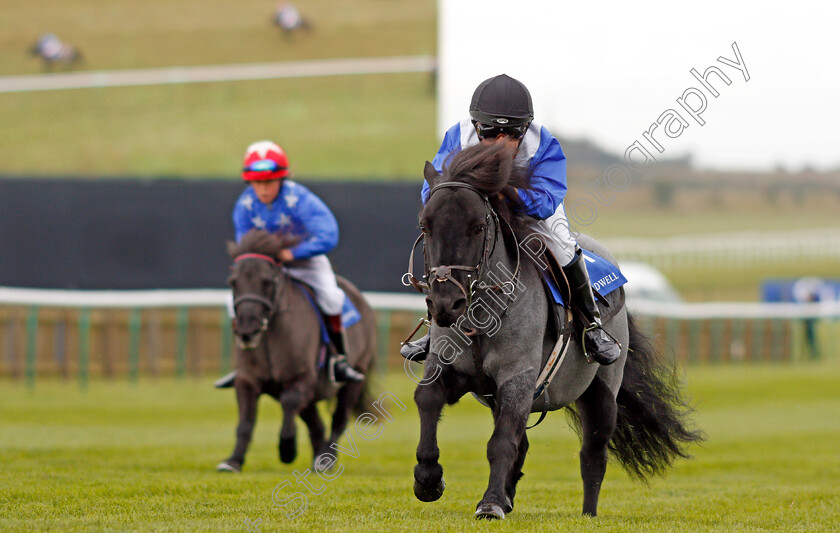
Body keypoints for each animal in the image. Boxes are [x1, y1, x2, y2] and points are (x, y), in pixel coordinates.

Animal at [218, 229, 376, 470]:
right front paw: (233, 460)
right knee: (316, 423)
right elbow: (245, 421)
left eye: (267, 281)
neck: (270, 336)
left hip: (355, 377)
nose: (247, 330)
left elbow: (289, 403)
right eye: (234, 282)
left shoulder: (301, 378)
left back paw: (326, 459)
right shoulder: (247, 380)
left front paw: (287, 448)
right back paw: (319, 456)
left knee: (339, 419)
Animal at [410, 141, 700, 520]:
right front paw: (429, 479)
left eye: (477, 228)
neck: (481, 316)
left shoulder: (518, 377)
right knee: (523, 441)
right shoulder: (450, 367)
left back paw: (587, 513)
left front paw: (490, 502)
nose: (445, 303)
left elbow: (501, 441)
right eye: (426, 226)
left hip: (602, 391)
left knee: (593, 453)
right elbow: (428, 398)